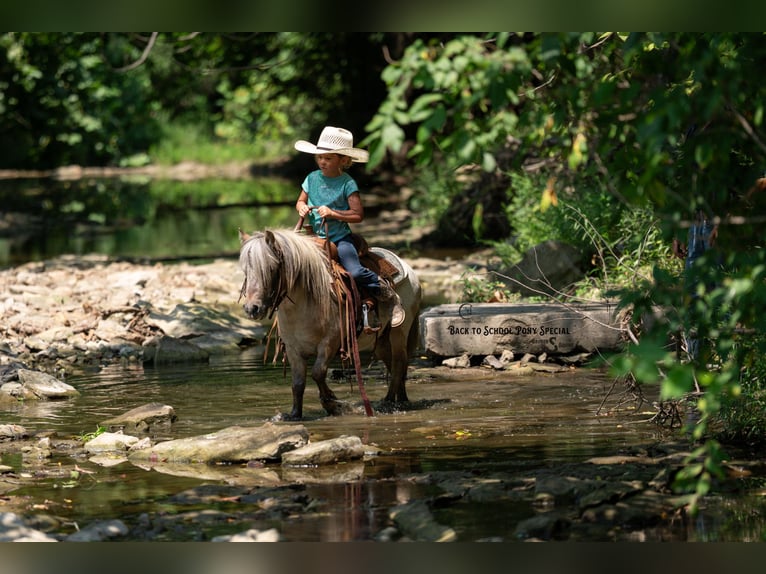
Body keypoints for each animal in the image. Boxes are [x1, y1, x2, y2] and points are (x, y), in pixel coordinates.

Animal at [238, 228, 422, 420]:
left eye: (271, 268)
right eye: (245, 270)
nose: (252, 308)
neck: (305, 301)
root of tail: (408, 269)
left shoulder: (329, 343)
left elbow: (318, 373)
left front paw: (333, 404)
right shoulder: (293, 349)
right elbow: (298, 383)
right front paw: (294, 414)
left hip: (399, 332)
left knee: (399, 362)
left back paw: (389, 402)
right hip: (382, 341)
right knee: (393, 364)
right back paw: (398, 399)